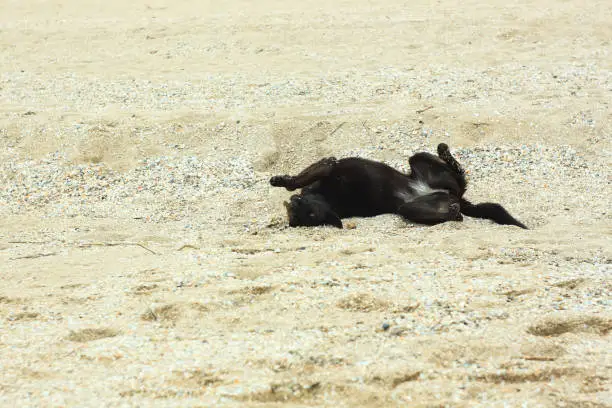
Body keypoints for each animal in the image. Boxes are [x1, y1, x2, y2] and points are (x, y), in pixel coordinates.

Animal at [270, 143, 528, 230]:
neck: (327, 199)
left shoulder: (328, 169)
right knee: (456, 209)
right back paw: (454, 211)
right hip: (411, 208)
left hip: (418, 159)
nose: (295, 205)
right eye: (308, 216)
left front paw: (280, 181)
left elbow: (300, 178)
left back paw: (444, 150)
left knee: (455, 170)